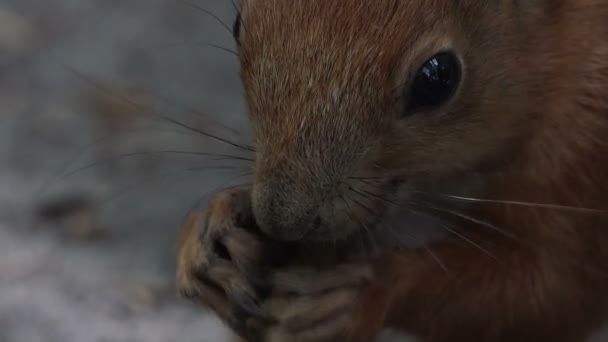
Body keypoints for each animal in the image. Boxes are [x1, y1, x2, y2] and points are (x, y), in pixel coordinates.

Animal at [173, 1, 608, 340]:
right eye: (238, 25)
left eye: (438, 77)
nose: (283, 220)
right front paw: (211, 230)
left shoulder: (583, 140)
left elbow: (553, 290)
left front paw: (359, 296)